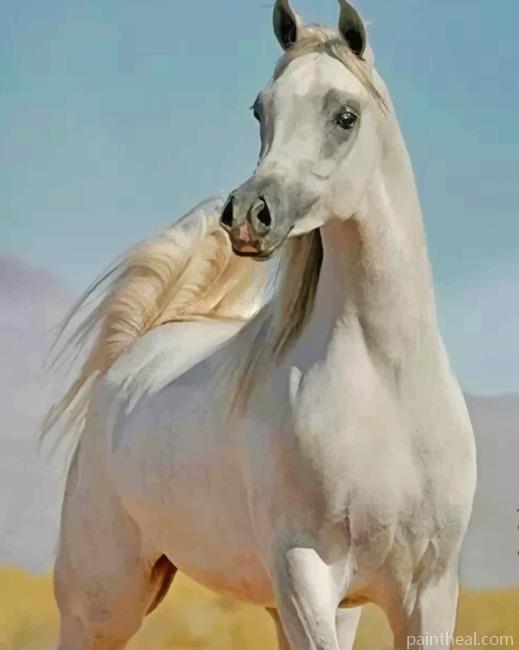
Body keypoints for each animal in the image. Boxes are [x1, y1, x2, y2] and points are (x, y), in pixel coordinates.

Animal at [45, 1, 477, 648]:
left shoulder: (427, 593)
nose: (248, 215)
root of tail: (134, 352)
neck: (387, 384)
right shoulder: (304, 572)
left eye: (345, 116)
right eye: (261, 108)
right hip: (101, 601)